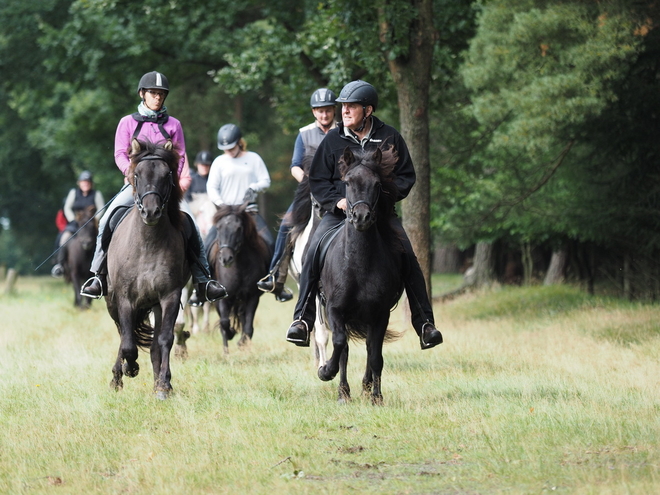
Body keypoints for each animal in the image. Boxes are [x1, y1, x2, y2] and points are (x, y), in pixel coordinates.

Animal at [104, 139, 189, 400]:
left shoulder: (170, 296)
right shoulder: (124, 299)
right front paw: (130, 368)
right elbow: (128, 342)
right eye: (137, 175)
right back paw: (117, 377)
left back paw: (157, 383)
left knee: (152, 344)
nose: (151, 212)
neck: (147, 243)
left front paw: (163, 385)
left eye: (167, 174)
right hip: (113, 302)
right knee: (123, 335)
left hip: (155, 304)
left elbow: (165, 339)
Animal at [206, 203, 268, 354]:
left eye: (239, 228)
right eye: (218, 228)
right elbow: (224, 323)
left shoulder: (252, 296)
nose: (225, 259)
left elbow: (248, 327)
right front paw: (231, 334)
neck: (240, 266)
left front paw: (242, 343)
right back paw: (226, 352)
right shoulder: (224, 298)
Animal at [318, 147, 404, 406]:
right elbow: (339, 344)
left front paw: (377, 397)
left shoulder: (380, 314)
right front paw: (327, 373)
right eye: (347, 182)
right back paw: (343, 390)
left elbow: (375, 355)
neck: (358, 266)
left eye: (377, 184)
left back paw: (366, 387)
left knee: (369, 347)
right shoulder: (335, 310)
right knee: (345, 348)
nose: (362, 217)